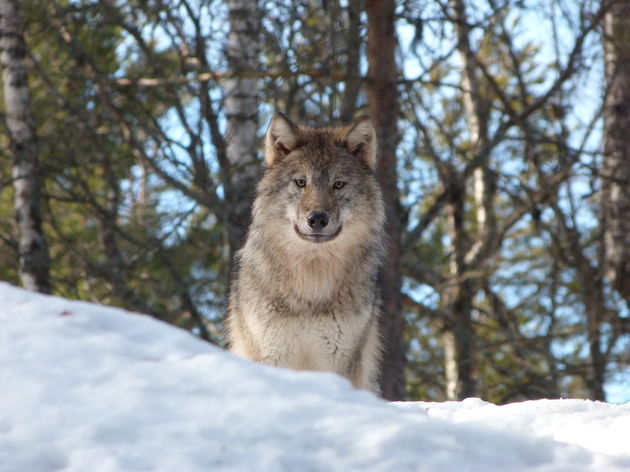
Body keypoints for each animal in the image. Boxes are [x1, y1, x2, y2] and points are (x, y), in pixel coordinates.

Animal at [225, 112, 388, 392]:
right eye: (301, 182)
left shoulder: (341, 361)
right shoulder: (271, 353)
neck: (310, 288)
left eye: (338, 185)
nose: (317, 219)